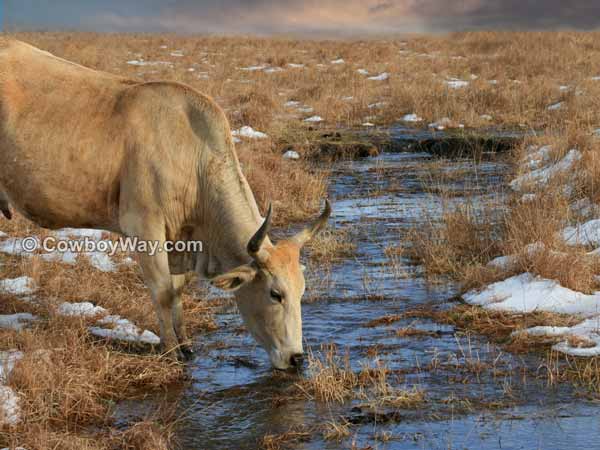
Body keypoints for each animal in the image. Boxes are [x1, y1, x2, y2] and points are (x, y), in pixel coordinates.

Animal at [0, 38, 332, 370]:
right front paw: (171, 351)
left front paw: (186, 345)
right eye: (276, 294)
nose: (297, 358)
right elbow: (162, 292)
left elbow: (177, 290)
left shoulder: (180, 241)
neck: (194, 158)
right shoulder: (144, 228)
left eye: (302, 290)